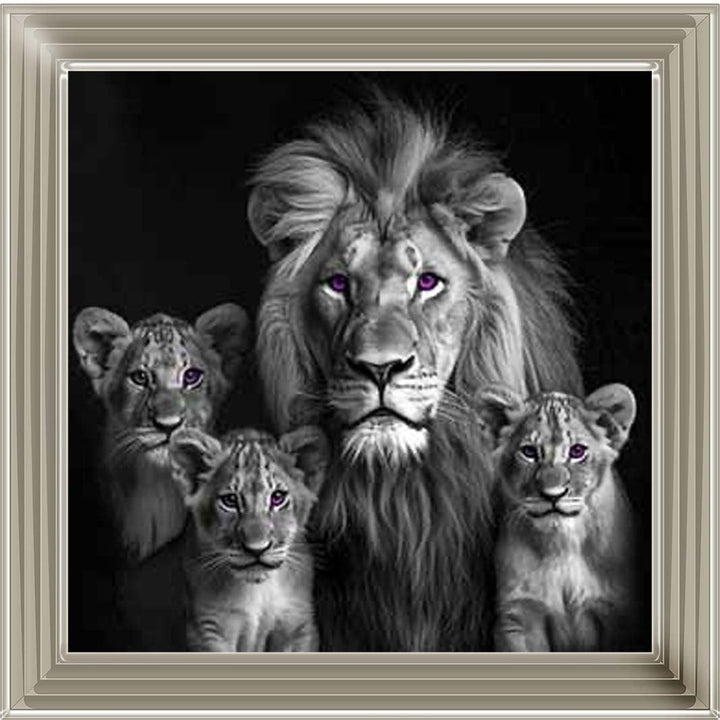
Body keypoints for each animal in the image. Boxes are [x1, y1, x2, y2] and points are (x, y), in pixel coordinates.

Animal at [169, 426, 328, 652]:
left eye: (277, 497)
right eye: (230, 500)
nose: (257, 549)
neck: (258, 590)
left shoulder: (298, 626)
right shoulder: (208, 630)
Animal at [475, 383, 637, 652]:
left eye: (577, 451)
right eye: (529, 452)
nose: (553, 494)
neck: (562, 543)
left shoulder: (618, 613)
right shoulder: (519, 615)